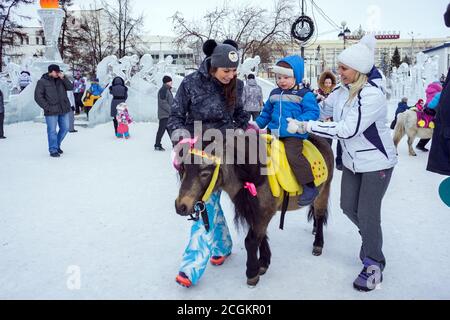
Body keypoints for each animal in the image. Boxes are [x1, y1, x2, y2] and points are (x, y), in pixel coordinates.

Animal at [175, 133, 334, 288]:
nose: (180, 206)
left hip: (323, 191)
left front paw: (252, 273)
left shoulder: (264, 213)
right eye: (183, 169)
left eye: (205, 173)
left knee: (319, 215)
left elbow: (251, 241)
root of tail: (323, 140)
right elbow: (260, 237)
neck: (252, 175)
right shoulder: (254, 213)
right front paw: (263, 262)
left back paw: (318, 243)